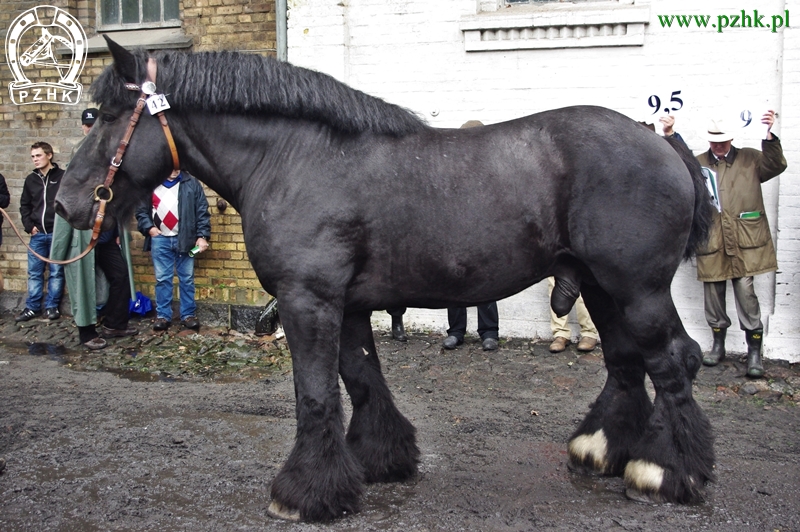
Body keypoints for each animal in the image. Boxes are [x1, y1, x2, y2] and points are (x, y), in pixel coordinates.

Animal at [59, 39, 716, 520]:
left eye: (106, 115)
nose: (66, 204)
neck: (294, 158)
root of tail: (660, 142)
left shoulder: (308, 300)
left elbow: (317, 393)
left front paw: (304, 492)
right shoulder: (345, 304)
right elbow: (361, 378)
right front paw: (378, 460)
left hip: (636, 288)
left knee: (672, 360)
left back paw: (665, 472)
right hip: (601, 287)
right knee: (626, 363)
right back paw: (602, 449)